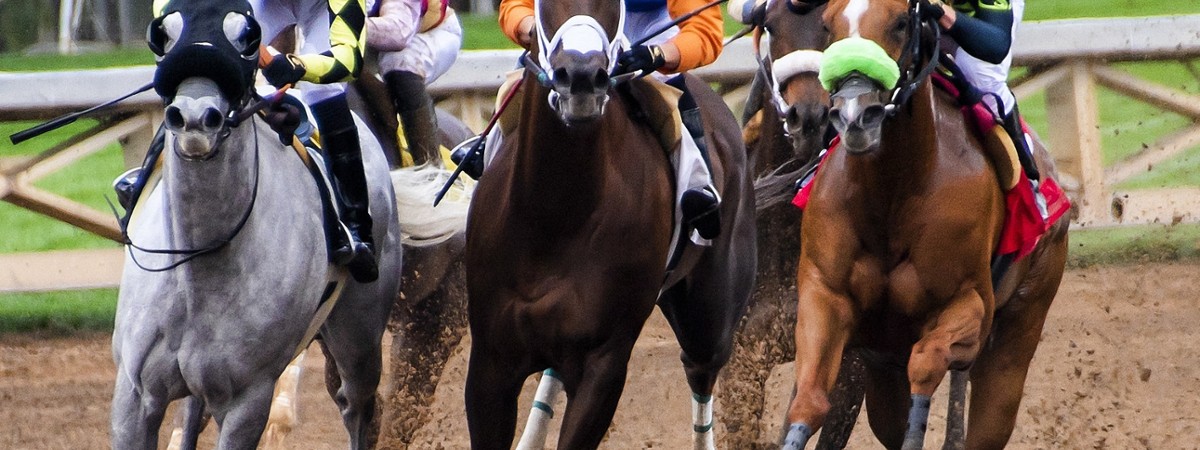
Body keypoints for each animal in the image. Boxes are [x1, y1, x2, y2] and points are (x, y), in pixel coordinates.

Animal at [109, 0, 402, 447]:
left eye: (247, 39)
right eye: (165, 34)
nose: (194, 118)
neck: (199, 264)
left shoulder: (248, 399)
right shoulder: (134, 393)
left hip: (360, 337)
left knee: (357, 409)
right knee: (190, 416)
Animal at [461, 0, 757, 448]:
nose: (581, 78)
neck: (555, 216)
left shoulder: (603, 363)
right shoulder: (490, 361)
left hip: (710, 315)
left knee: (701, 367)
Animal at [781, 0, 1069, 448]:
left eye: (901, 23)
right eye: (827, 26)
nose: (854, 115)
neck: (893, 190)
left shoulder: (969, 306)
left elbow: (928, 361)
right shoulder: (824, 294)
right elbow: (809, 400)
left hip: (1020, 326)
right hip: (883, 366)